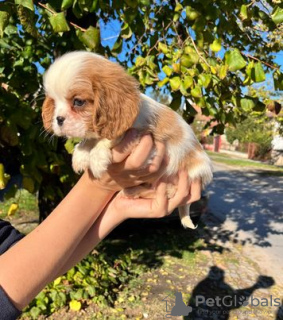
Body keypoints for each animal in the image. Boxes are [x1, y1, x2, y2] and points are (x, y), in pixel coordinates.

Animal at [42, 51, 213, 229]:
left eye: (78, 102)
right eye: (54, 103)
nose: (58, 119)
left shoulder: (143, 135)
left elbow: (110, 139)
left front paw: (96, 158)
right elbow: (92, 138)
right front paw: (81, 155)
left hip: (190, 173)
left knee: (166, 191)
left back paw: (140, 190)